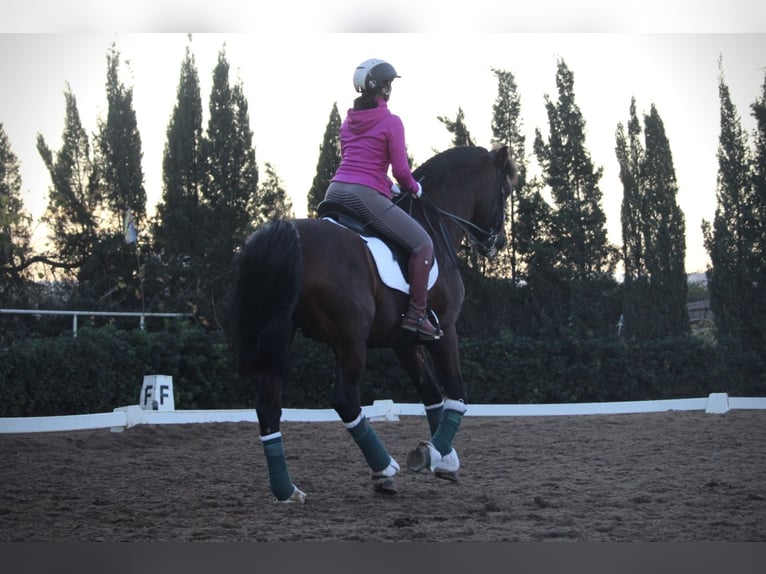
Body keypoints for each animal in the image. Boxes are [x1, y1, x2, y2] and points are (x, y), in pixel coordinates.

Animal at [231, 145, 520, 504]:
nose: (498, 242)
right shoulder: (445, 331)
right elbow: (456, 394)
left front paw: (444, 460)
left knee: (268, 408)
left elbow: (431, 394)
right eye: (505, 189)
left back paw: (287, 490)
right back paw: (384, 470)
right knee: (345, 401)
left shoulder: (404, 341)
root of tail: (292, 236)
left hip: (281, 336)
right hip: (350, 342)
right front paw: (431, 454)